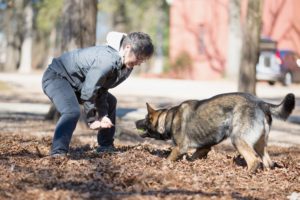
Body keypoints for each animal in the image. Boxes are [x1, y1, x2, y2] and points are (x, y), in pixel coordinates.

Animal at [136, 92, 296, 172]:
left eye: (145, 119)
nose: (135, 122)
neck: (169, 117)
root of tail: (261, 103)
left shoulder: (179, 148)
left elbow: (169, 158)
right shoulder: (204, 148)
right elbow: (193, 157)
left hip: (238, 139)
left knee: (254, 161)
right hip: (259, 144)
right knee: (268, 163)